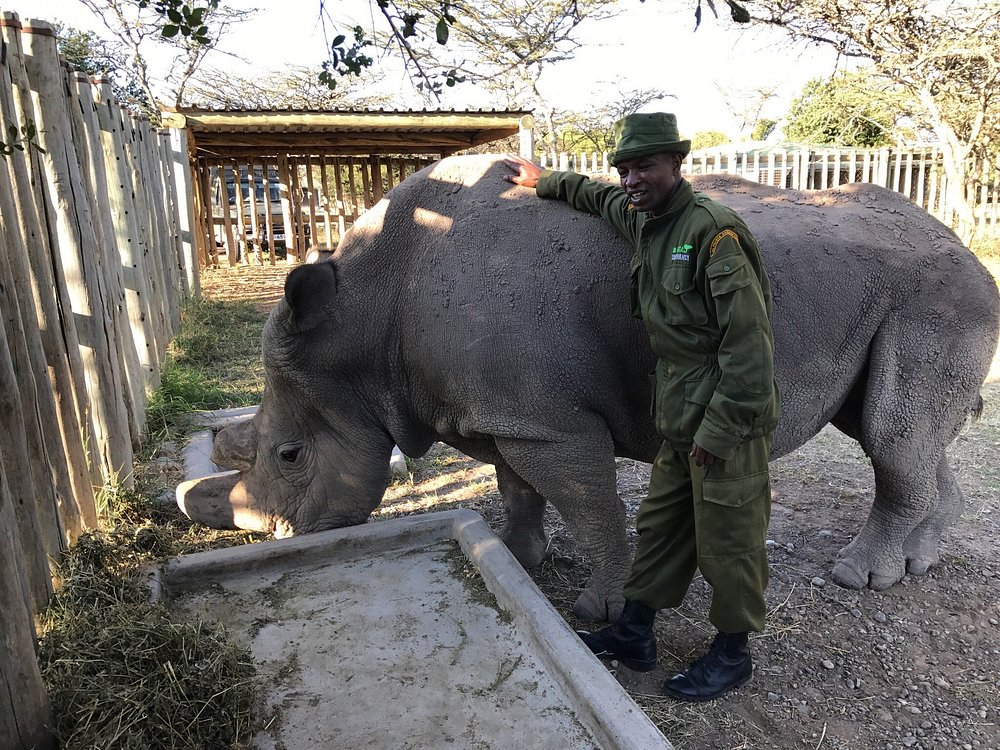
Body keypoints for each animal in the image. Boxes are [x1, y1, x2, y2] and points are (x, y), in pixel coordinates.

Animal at [178, 155, 1000, 622]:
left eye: (288, 456)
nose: (290, 539)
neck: (367, 318)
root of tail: (963, 245)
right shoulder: (509, 413)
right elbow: (516, 488)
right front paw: (518, 558)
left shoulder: (550, 422)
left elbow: (591, 504)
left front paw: (601, 609)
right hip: (907, 290)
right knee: (899, 433)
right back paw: (920, 562)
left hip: (937, 295)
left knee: (892, 434)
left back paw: (862, 578)